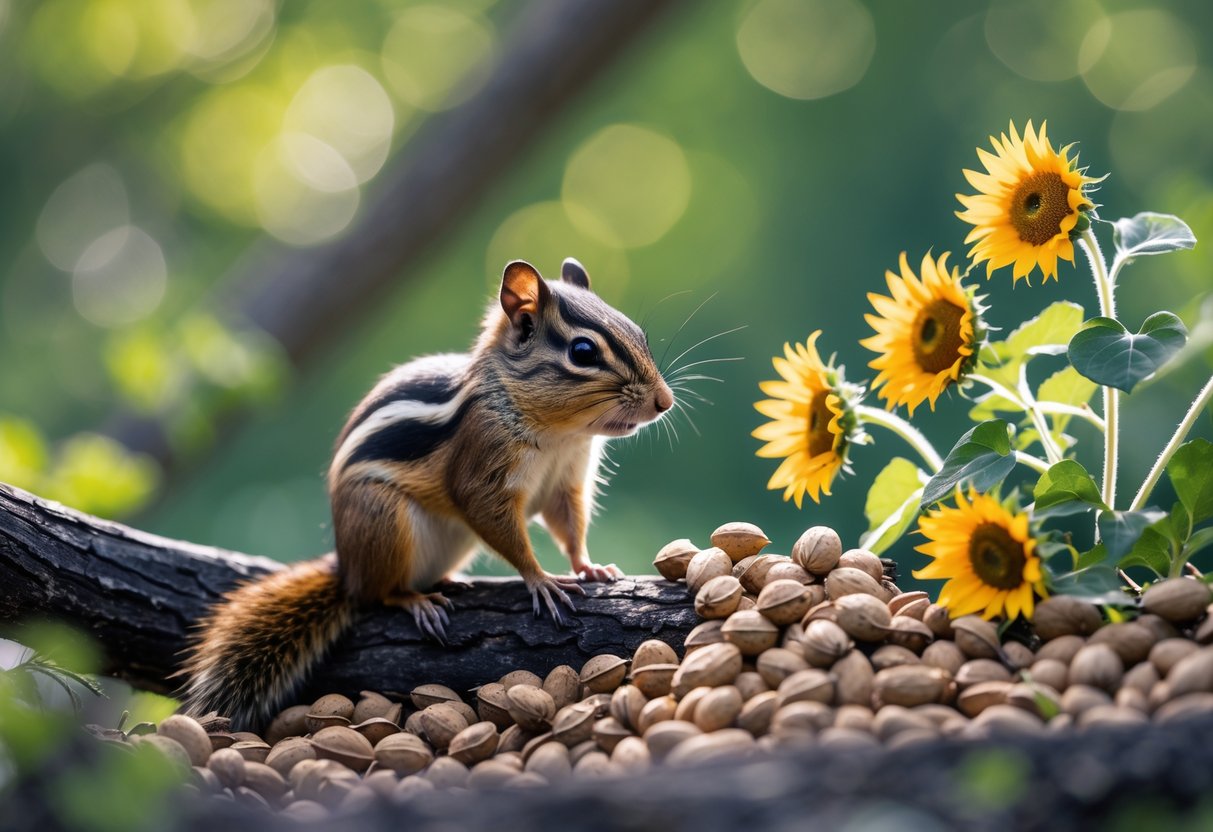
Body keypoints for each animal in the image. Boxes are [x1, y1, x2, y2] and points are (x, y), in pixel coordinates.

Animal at [180, 258, 674, 728]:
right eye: (583, 351)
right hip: (384, 521)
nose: (664, 402)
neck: (560, 433)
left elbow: (569, 525)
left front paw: (589, 566)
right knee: (379, 593)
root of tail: (346, 567)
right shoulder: (481, 468)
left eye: (637, 333)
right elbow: (498, 522)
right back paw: (416, 601)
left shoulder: (565, 480)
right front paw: (541, 580)